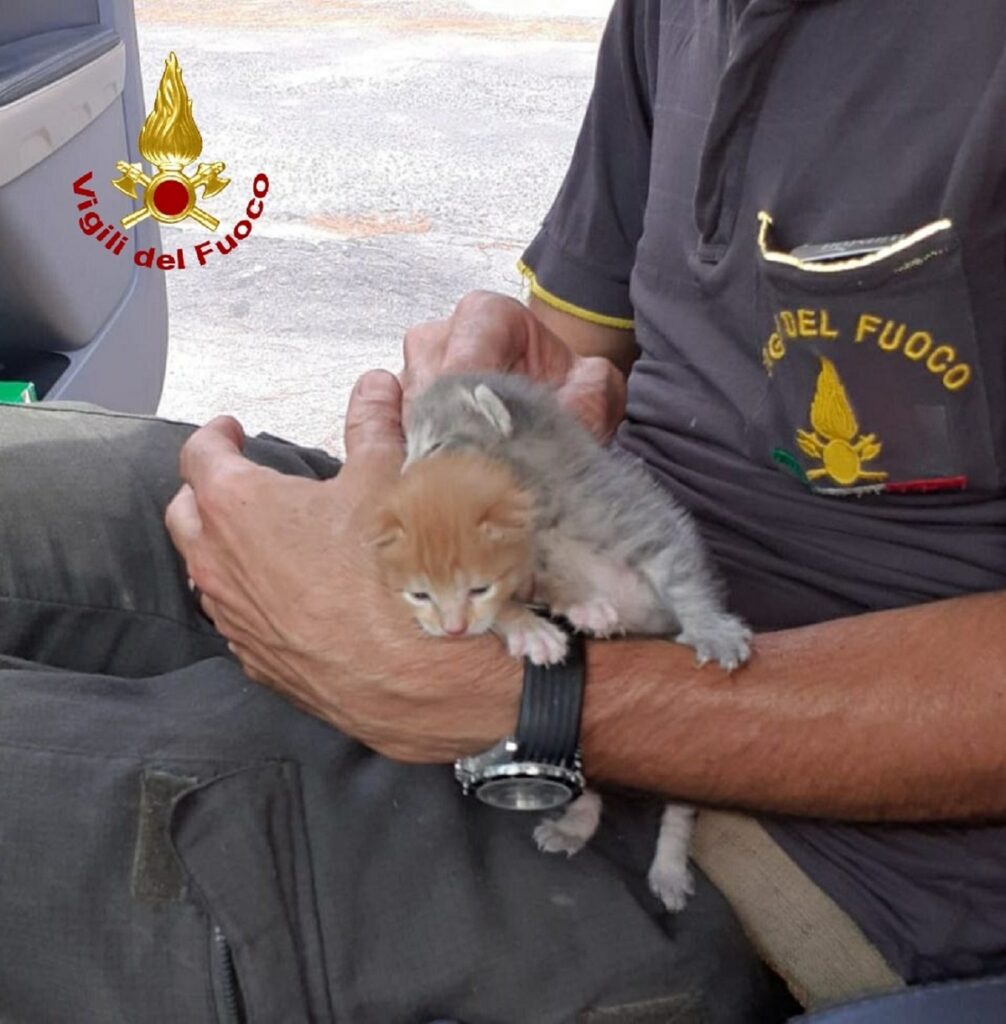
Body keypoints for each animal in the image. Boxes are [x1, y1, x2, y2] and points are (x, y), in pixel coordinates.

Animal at [374, 450, 569, 663]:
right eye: (419, 596)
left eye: (480, 590)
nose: (454, 631)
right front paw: (530, 630)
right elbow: (499, 609)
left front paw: (572, 594)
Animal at [401, 370, 749, 913]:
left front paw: (712, 628)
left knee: (679, 811)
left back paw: (670, 870)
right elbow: (518, 601)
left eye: (436, 447)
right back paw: (573, 826)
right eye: (409, 447)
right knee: (589, 792)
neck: (543, 510)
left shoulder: (650, 526)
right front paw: (562, 619)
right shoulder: (528, 571)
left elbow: (685, 581)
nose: (399, 482)